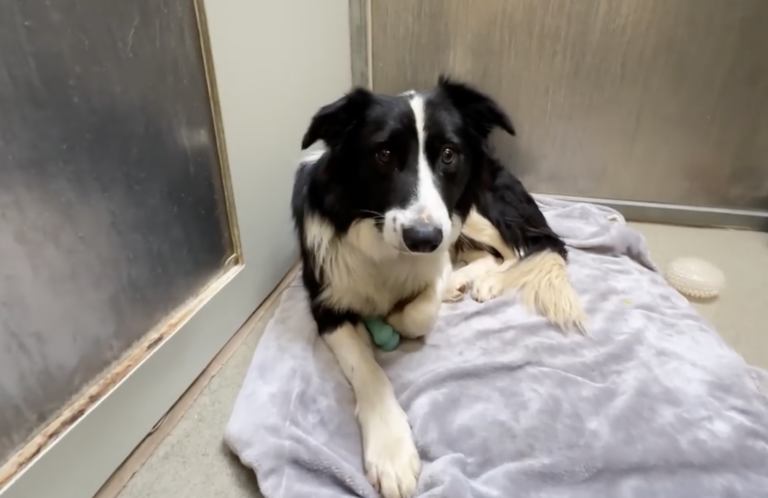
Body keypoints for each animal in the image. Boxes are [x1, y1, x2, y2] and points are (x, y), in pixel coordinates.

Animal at [292, 76, 584, 496]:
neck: (380, 242)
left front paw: (403, 312)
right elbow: (365, 366)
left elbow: (419, 311)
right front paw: (391, 449)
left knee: (529, 248)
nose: (422, 238)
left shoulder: (439, 249)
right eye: (383, 155)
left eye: (448, 154)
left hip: (476, 206)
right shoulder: (326, 300)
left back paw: (486, 283)